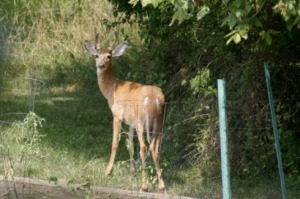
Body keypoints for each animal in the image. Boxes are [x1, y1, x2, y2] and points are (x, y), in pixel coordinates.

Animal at [84, 33, 166, 194]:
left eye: (109, 56)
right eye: (96, 55)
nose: (101, 65)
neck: (112, 89)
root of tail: (155, 99)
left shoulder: (117, 116)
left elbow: (115, 143)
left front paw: (107, 172)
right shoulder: (131, 121)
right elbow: (129, 143)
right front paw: (133, 172)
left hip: (142, 121)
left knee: (144, 147)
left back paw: (144, 186)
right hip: (158, 123)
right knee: (155, 148)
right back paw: (162, 186)